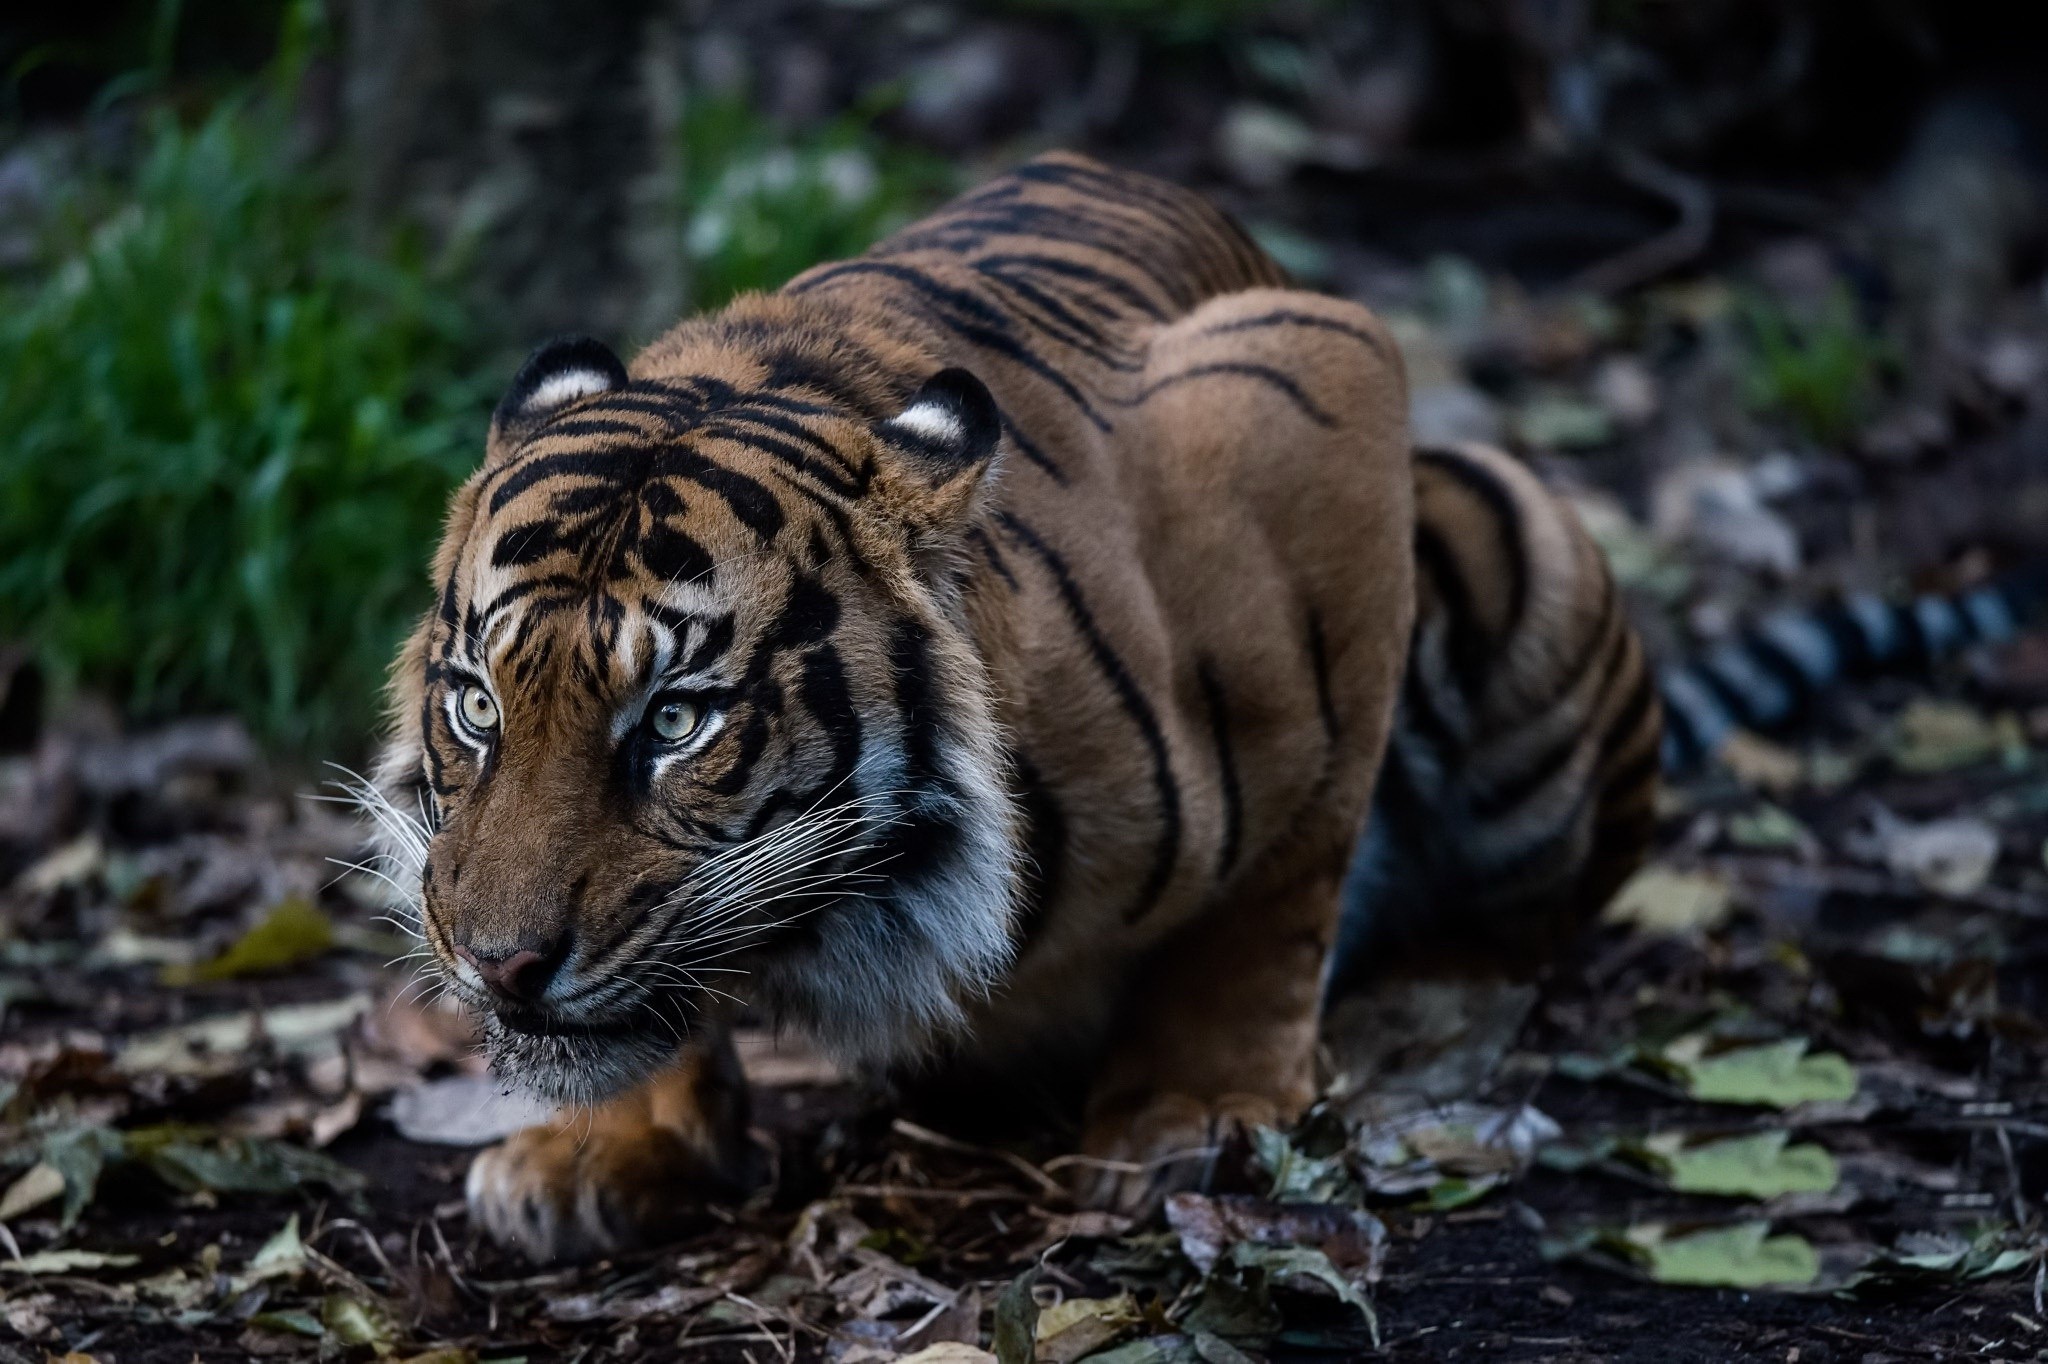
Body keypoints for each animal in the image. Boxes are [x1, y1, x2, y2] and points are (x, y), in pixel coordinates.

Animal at [362, 151, 1660, 1262]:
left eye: (676, 720)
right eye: (477, 706)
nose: (501, 968)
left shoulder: (1314, 399)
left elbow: (1279, 884)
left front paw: (1200, 1115)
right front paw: (606, 1146)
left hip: (1503, 537)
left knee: (1528, 917)